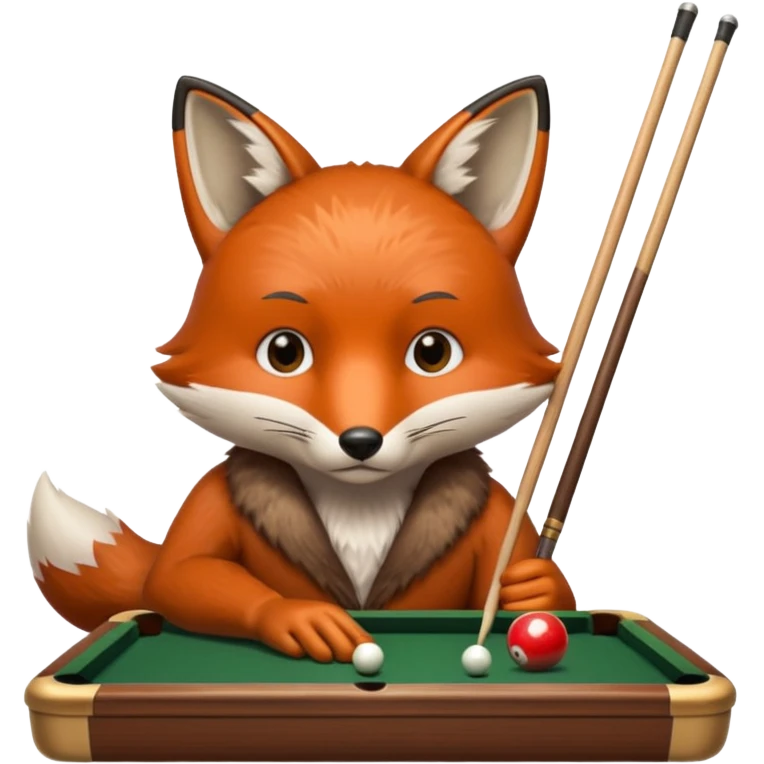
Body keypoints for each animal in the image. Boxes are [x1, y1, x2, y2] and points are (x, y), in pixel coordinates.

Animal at [26, 73, 576, 663]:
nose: (360, 441)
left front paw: (534, 586)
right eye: (284, 352)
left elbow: (538, 589)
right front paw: (296, 615)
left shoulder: (496, 517)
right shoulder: (213, 501)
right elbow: (179, 575)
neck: (359, 504)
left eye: (433, 352)